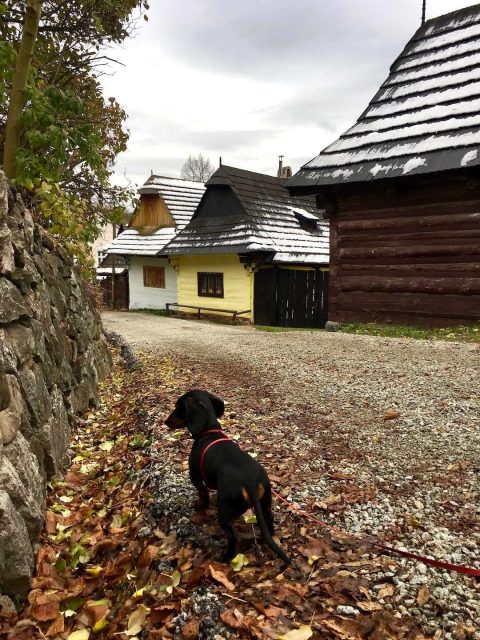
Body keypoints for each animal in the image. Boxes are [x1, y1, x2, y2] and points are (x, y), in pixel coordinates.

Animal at [165, 388, 290, 564]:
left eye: (178, 407)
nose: (166, 422)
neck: (208, 432)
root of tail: (250, 482)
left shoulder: (194, 475)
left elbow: (202, 493)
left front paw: (200, 505)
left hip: (225, 513)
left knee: (234, 536)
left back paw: (226, 557)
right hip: (265, 503)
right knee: (269, 523)